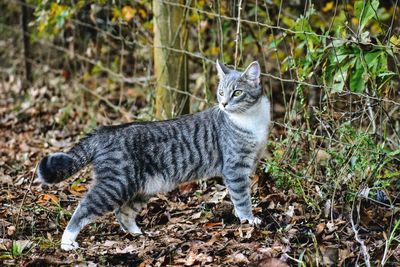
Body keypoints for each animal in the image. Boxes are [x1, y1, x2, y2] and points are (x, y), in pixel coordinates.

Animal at [36, 60, 272, 251]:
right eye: (221, 92)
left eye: (237, 92)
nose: (223, 104)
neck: (250, 118)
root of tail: (105, 131)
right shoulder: (235, 167)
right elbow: (241, 197)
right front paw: (248, 220)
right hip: (116, 183)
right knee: (84, 207)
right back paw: (67, 242)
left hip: (144, 186)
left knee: (123, 212)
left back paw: (137, 234)